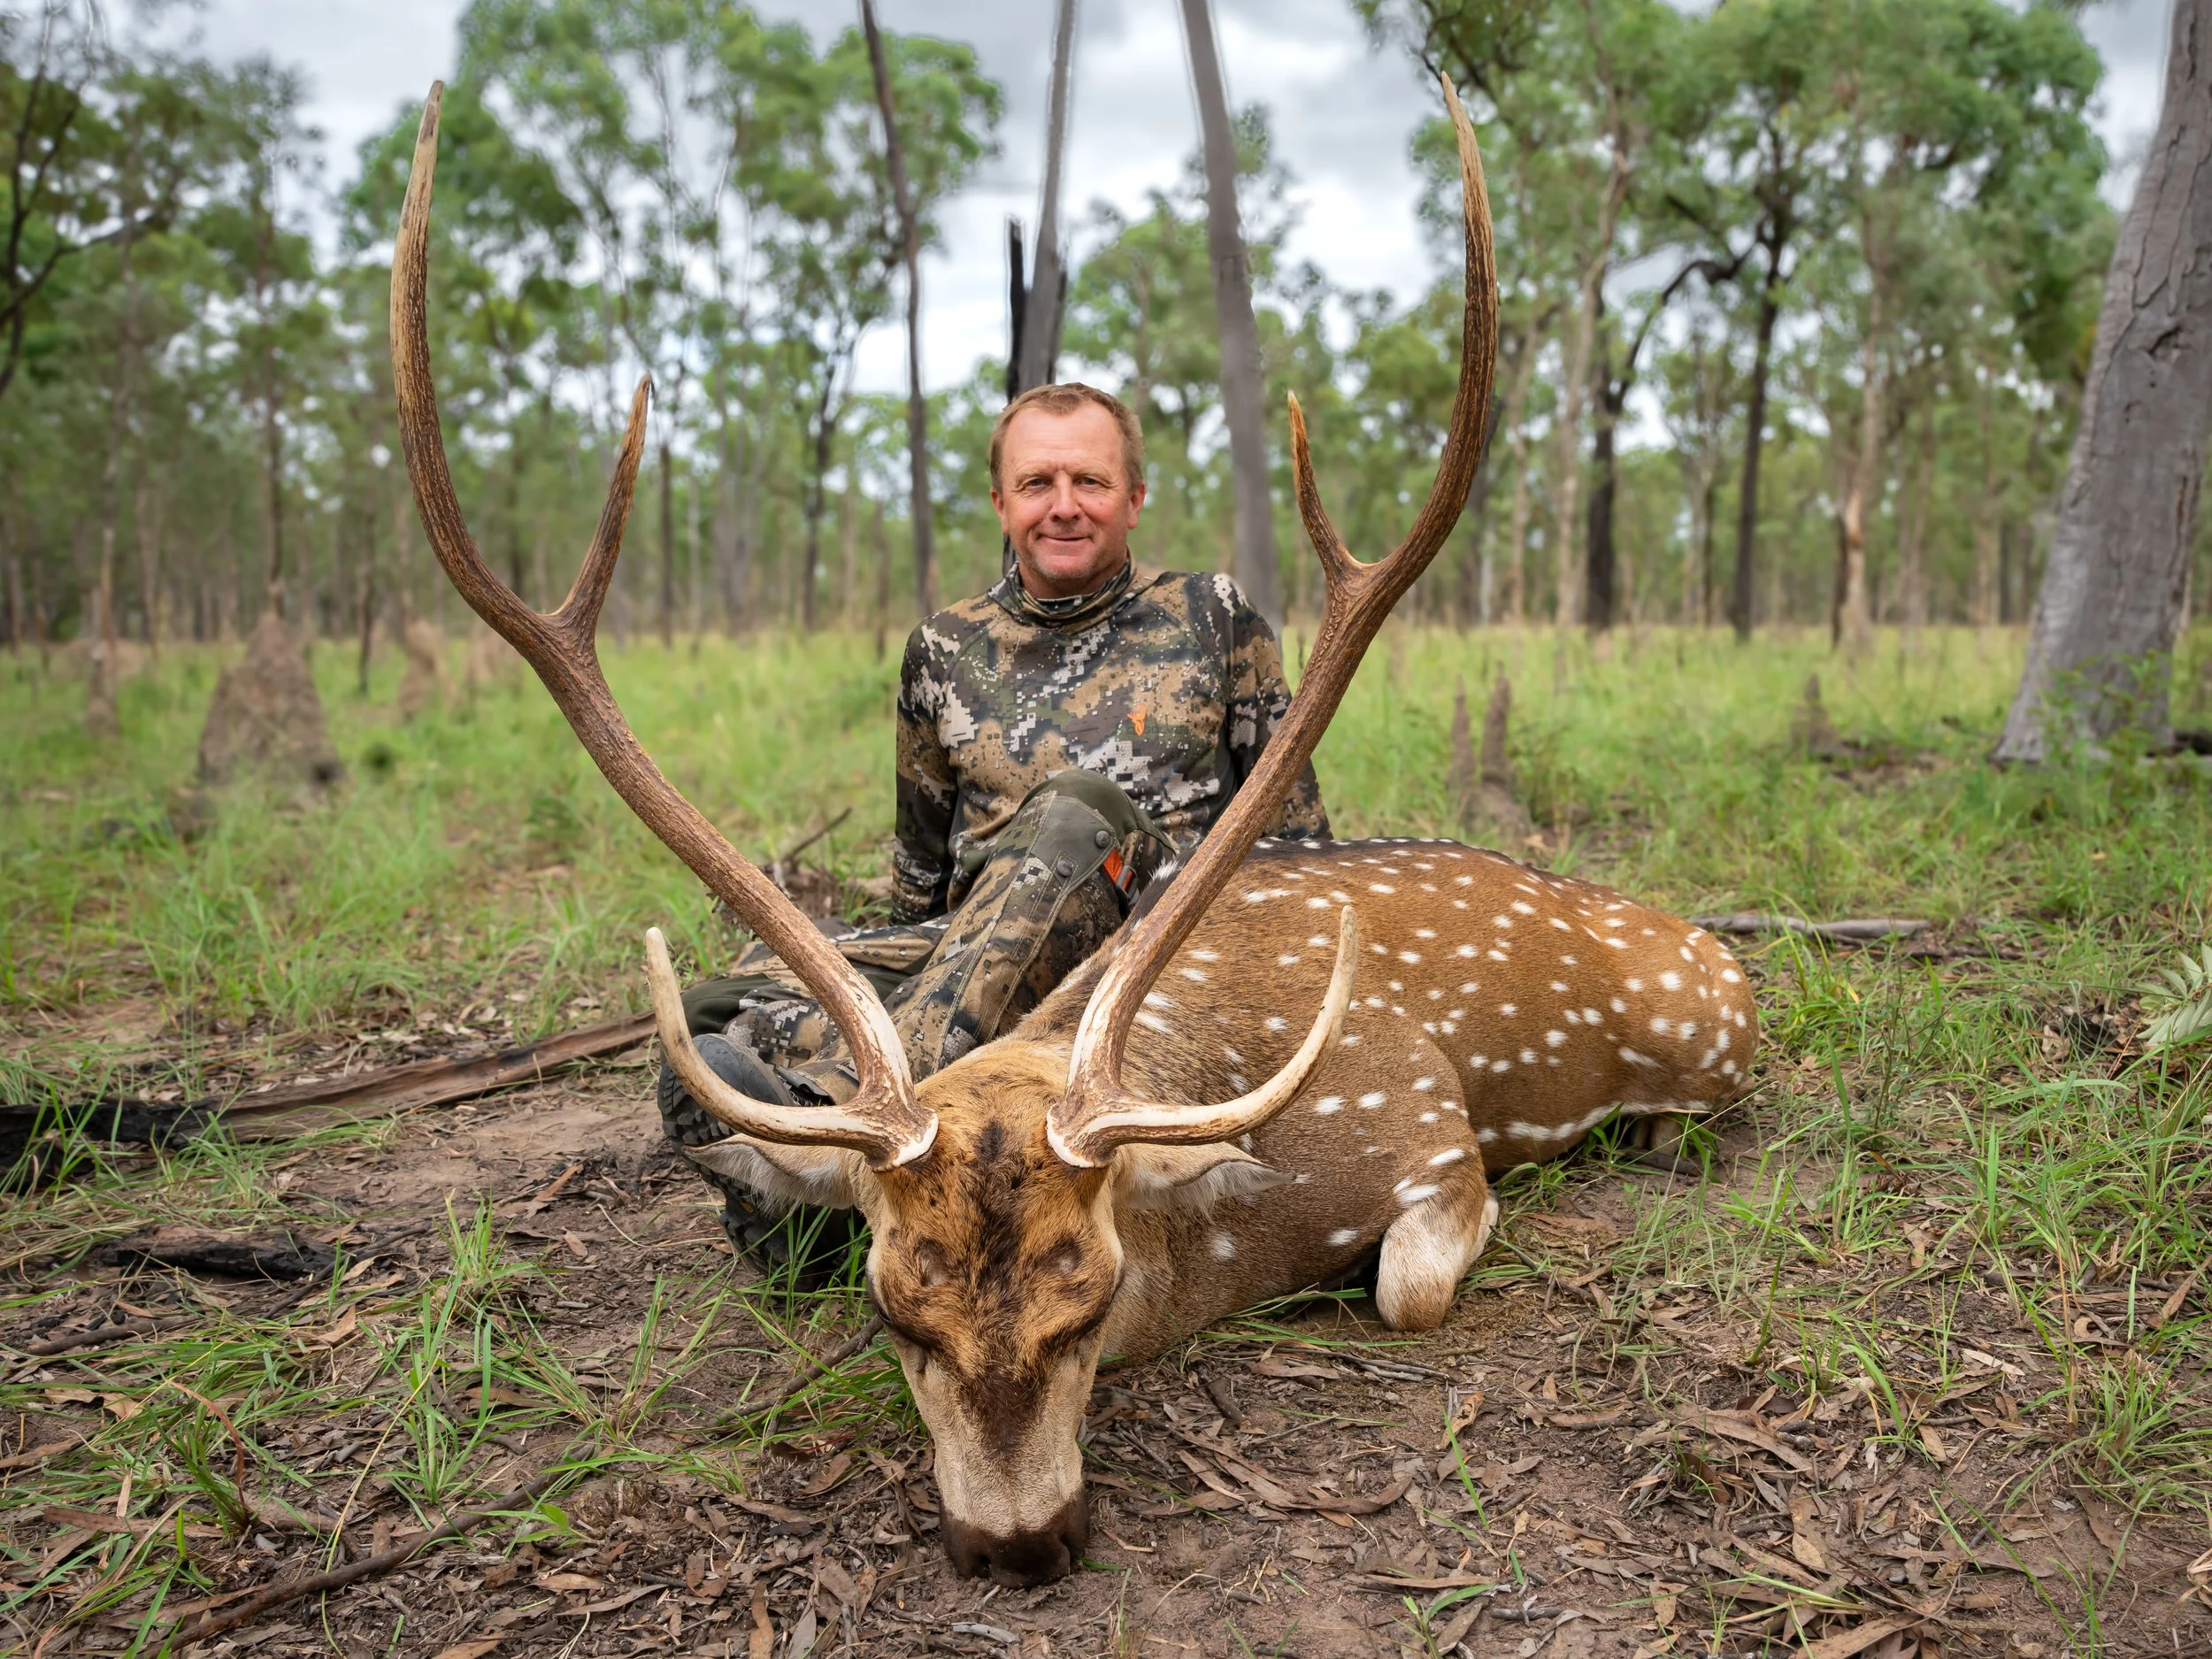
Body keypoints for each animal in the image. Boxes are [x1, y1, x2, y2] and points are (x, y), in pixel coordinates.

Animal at [389, 75, 1759, 1588]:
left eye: (1090, 1299)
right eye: (896, 1314)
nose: (1018, 1537)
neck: (1236, 1226)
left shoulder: (1428, 1131)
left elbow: (1406, 1288)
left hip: (1711, 1033)